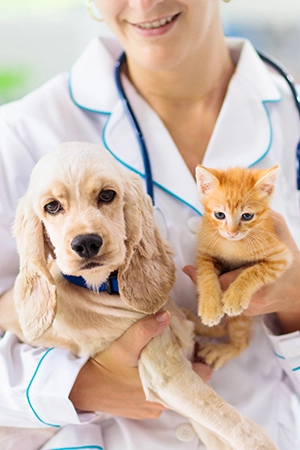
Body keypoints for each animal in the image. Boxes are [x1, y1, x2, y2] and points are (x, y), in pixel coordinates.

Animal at [195, 165, 292, 370]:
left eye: (247, 216)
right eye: (219, 215)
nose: (232, 233)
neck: (233, 245)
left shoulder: (281, 256)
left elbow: (254, 271)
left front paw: (235, 297)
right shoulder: (204, 252)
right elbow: (206, 275)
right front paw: (210, 306)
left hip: (242, 318)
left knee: (241, 342)